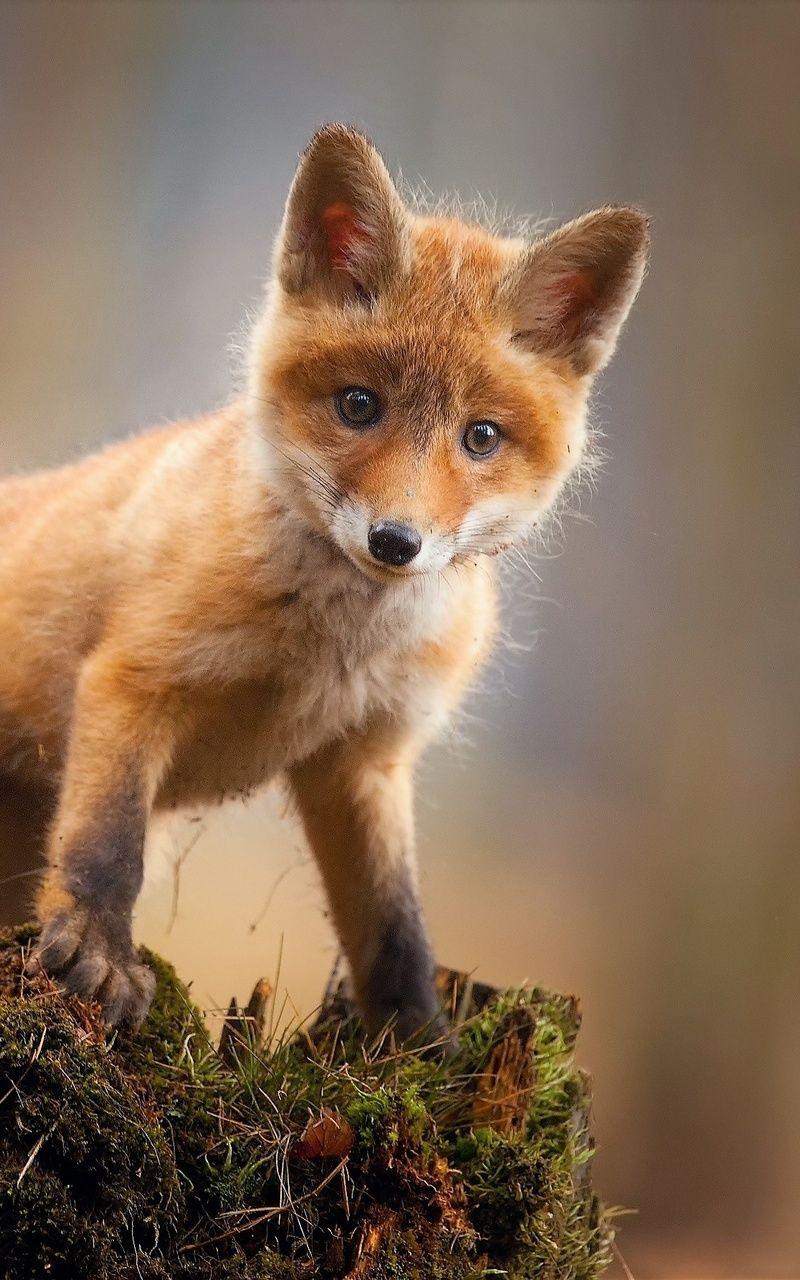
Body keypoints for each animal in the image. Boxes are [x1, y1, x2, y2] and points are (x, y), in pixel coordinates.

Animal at [0, 124, 648, 1036]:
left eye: (481, 436)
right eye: (358, 405)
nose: (396, 541)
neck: (331, 651)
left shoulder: (364, 760)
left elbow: (394, 926)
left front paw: (418, 1044)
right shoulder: (134, 680)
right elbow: (105, 843)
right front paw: (98, 952)